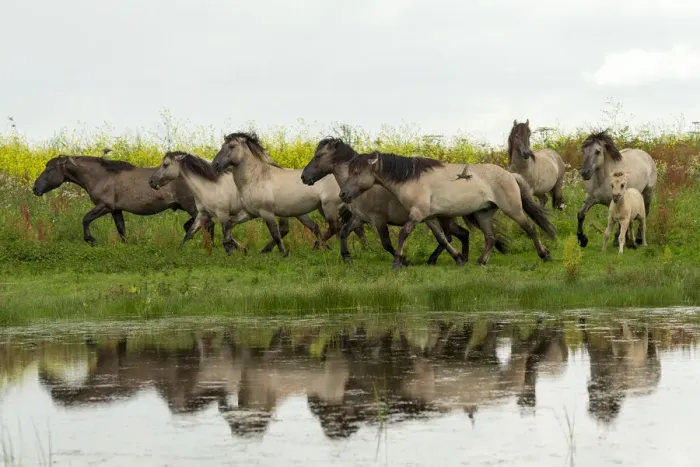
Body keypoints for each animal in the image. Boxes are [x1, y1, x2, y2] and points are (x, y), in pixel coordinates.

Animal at [32, 155, 212, 245]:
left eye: (49, 170)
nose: (35, 188)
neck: (101, 176)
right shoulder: (116, 210)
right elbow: (121, 230)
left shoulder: (105, 206)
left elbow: (85, 219)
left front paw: (91, 240)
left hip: (191, 206)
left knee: (206, 223)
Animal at [148, 151, 322, 255]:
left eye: (166, 164)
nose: (151, 182)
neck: (209, 186)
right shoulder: (203, 214)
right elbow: (190, 233)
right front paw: (179, 252)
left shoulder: (222, 214)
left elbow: (227, 232)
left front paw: (236, 251)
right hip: (297, 211)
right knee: (312, 226)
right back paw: (320, 247)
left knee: (286, 229)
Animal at [211, 132, 366, 256]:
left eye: (231, 146)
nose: (215, 165)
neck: (256, 177)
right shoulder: (251, 213)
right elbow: (229, 224)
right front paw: (228, 247)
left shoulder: (266, 212)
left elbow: (276, 233)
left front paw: (283, 253)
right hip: (325, 208)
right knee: (350, 227)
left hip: (330, 207)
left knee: (337, 228)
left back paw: (321, 246)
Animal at [300, 137, 510, 264]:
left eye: (318, 156)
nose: (304, 177)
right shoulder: (360, 217)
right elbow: (344, 232)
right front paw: (347, 257)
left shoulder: (378, 219)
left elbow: (386, 243)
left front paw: (404, 260)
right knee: (458, 234)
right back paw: (454, 258)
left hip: (443, 217)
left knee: (452, 235)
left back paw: (442, 259)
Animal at [337, 148, 556, 270]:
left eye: (357, 172)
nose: (343, 194)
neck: (411, 179)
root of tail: (510, 174)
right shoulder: (429, 217)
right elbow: (442, 238)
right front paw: (459, 259)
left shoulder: (417, 214)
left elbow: (403, 234)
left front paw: (398, 262)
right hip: (483, 214)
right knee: (491, 237)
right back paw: (480, 262)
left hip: (513, 209)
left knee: (531, 228)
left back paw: (545, 255)